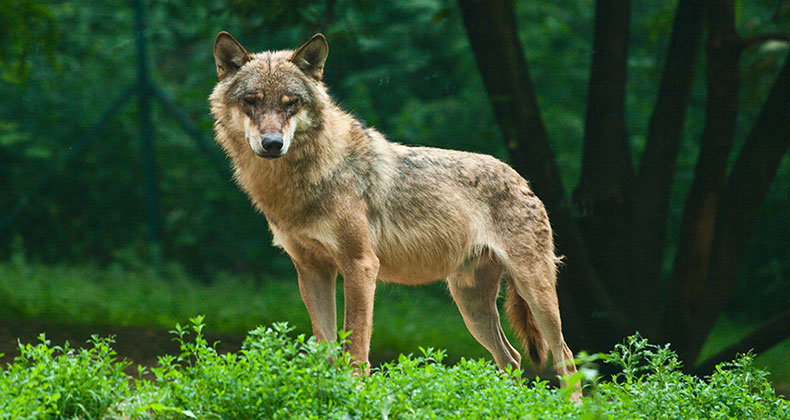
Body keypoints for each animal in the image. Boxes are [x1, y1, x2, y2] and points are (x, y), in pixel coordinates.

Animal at [210, 32, 579, 393]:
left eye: (291, 103)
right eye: (251, 101)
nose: (272, 143)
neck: (307, 177)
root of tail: (521, 179)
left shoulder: (360, 265)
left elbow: (355, 345)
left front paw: (354, 395)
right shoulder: (312, 270)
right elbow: (325, 347)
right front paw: (327, 393)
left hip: (534, 292)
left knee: (566, 356)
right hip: (471, 304)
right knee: (512, 358)